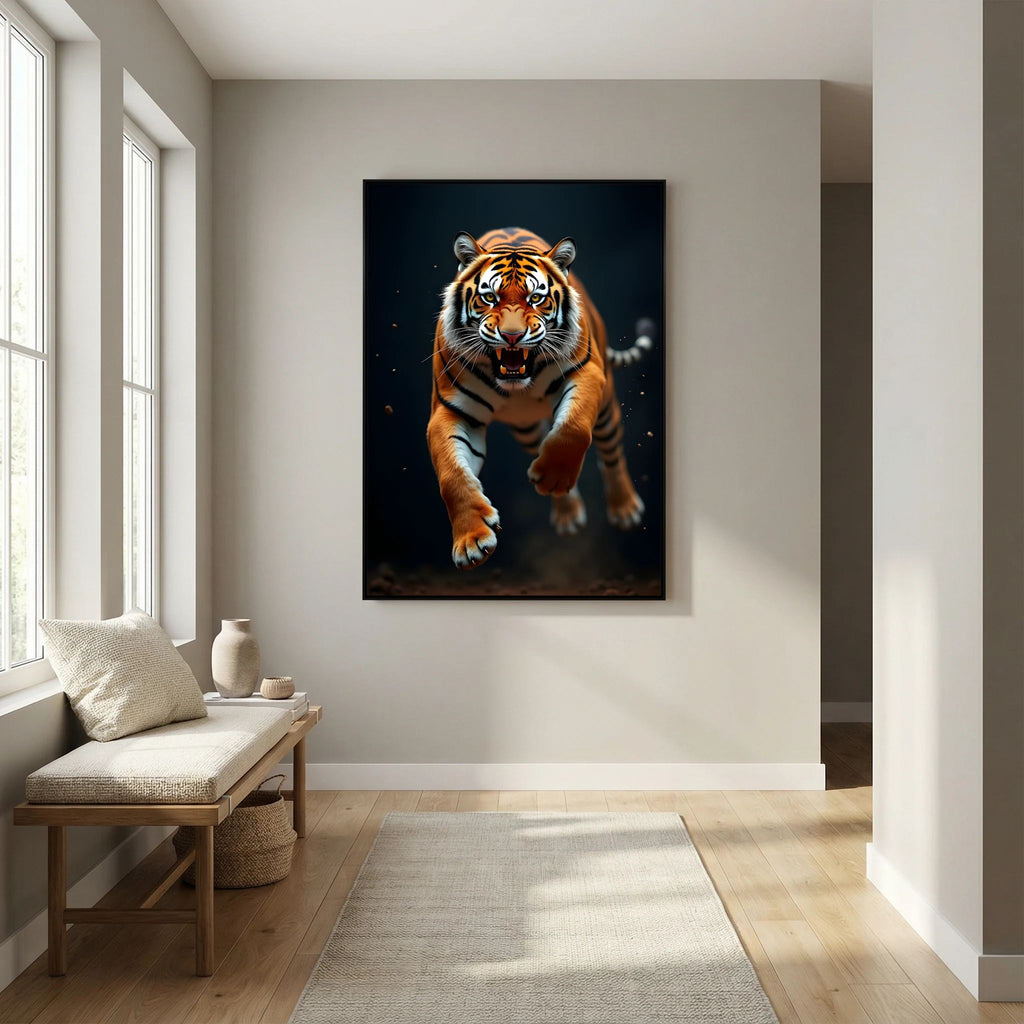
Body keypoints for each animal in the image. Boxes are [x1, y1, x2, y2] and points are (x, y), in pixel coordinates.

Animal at [427, 227, 654, 569]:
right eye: (489, 297)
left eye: (536, 298)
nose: (512, 336)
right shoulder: (449, 411)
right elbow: (451, 477)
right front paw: (471, 542)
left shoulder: (587, 374)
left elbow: (573, 429)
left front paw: (553, 477)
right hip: (525, 428)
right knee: (542, 442)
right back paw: (567, 514)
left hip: (606, 410)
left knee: (611, 454)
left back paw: (624, 508)